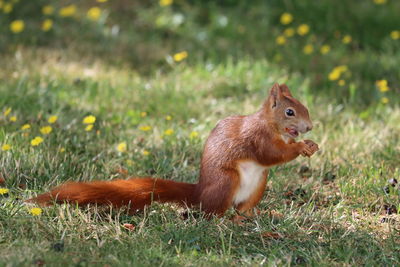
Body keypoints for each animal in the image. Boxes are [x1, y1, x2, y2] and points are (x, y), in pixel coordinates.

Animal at [28, 84, 318, 220]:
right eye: (290, 112)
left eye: (305, 106)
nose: (309, 127)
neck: (271, 125)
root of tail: (199, 193)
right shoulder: (257, 138)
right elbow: (271, 154)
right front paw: (301, 147)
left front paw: (311, 146)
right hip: (227, 180)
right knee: (213, 213)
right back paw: (226, 221)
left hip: (259, 183)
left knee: (241, 209)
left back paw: (257, 215)